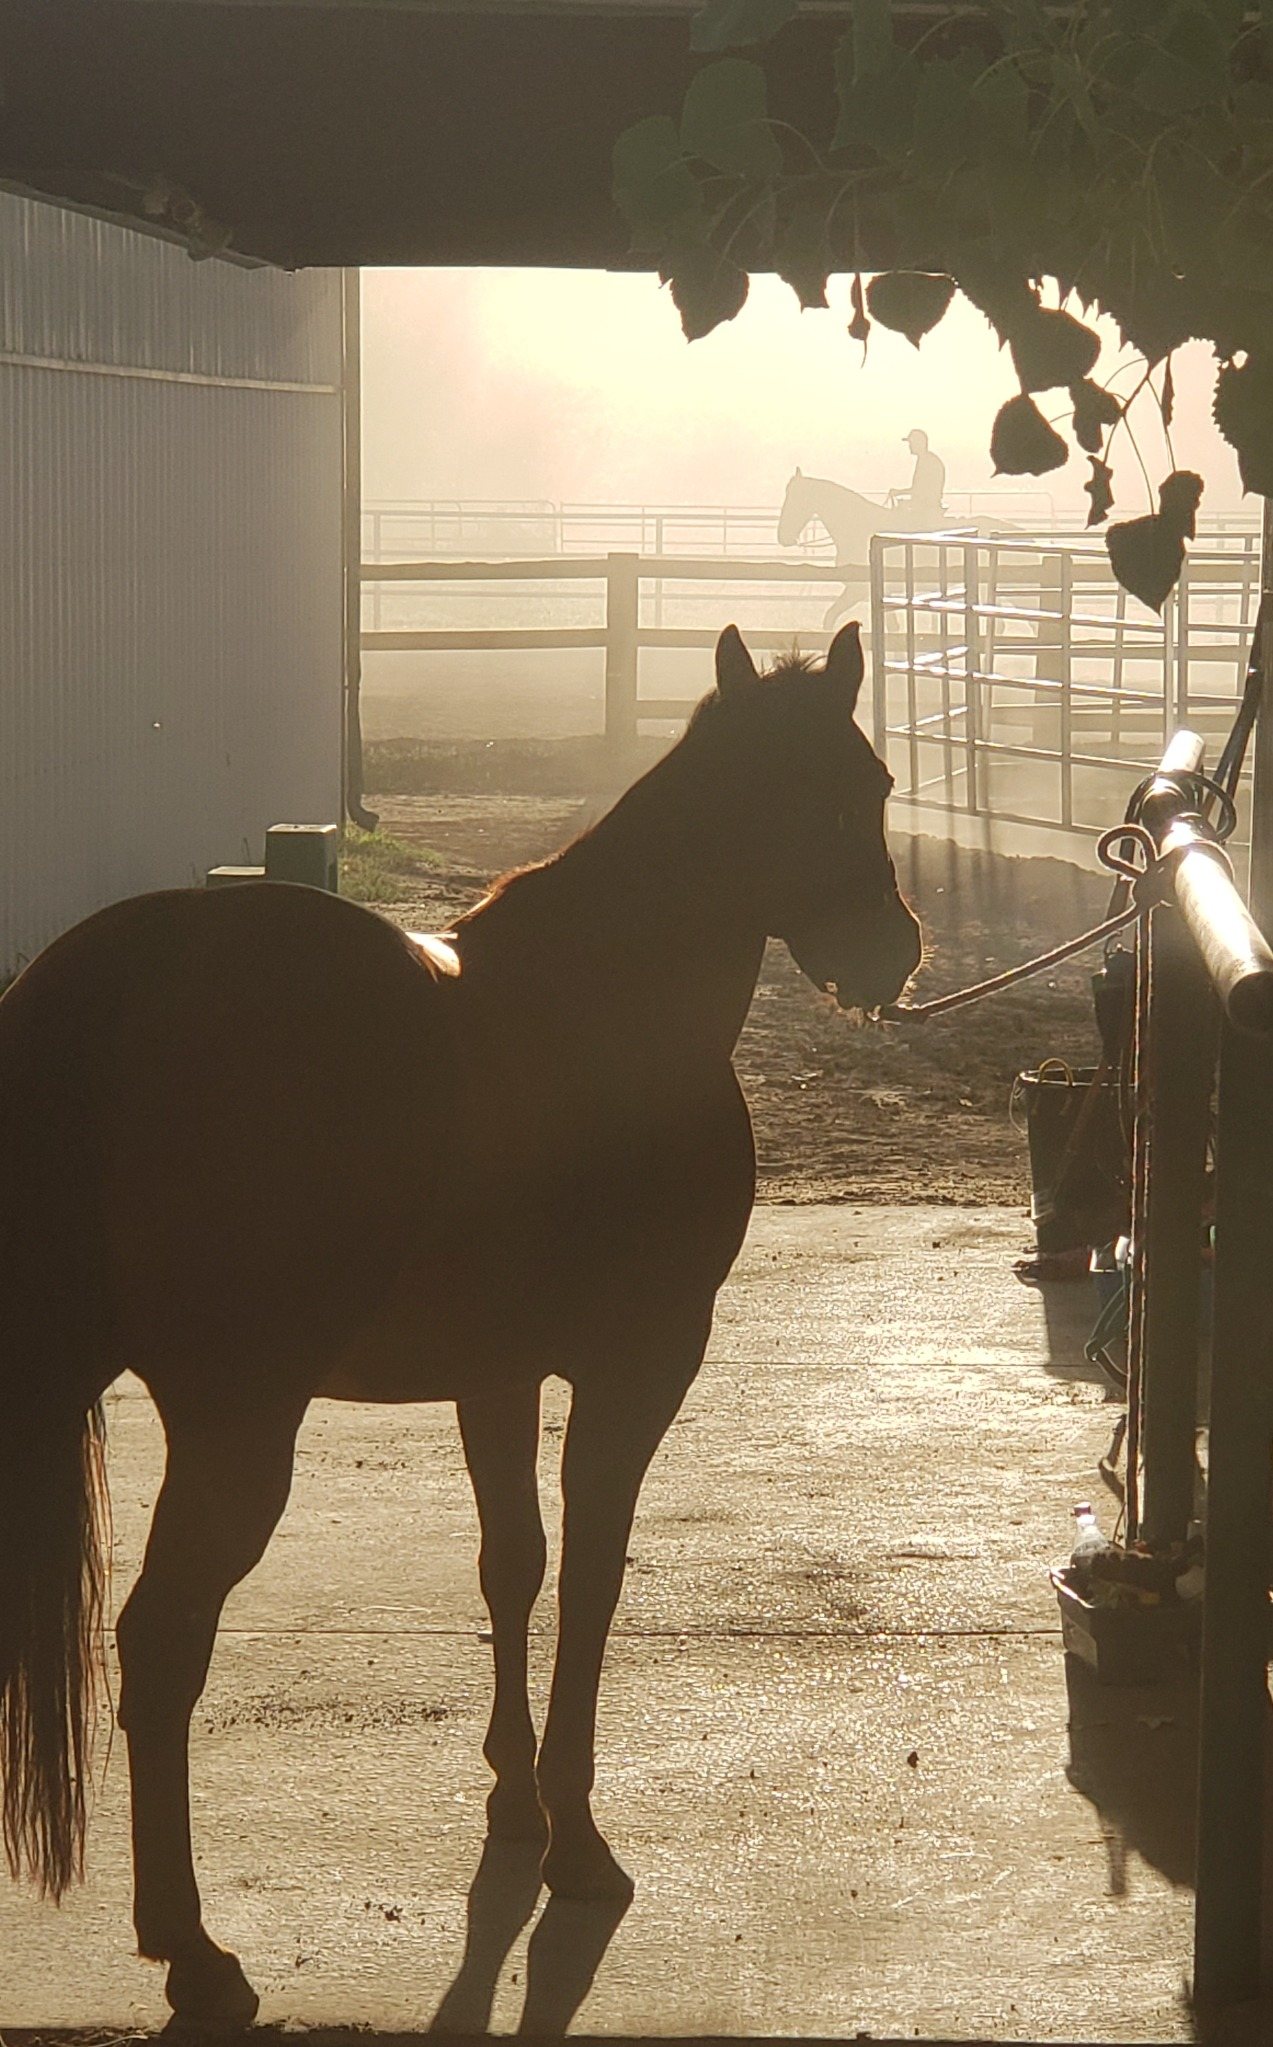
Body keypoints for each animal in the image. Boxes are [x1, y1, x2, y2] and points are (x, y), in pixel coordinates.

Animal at [0, 623, 922, 2028]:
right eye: (814, 791)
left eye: (868, 780)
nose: (890, 954)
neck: (609, 1002)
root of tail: (124, 975)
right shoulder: (638, 1369)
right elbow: (591, 1577)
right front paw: (577, 1839)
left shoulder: (497, 1374)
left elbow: (513, 1564)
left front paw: (515, 1802)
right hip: (236, 1421)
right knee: (161, 1647)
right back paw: (195, 1951)